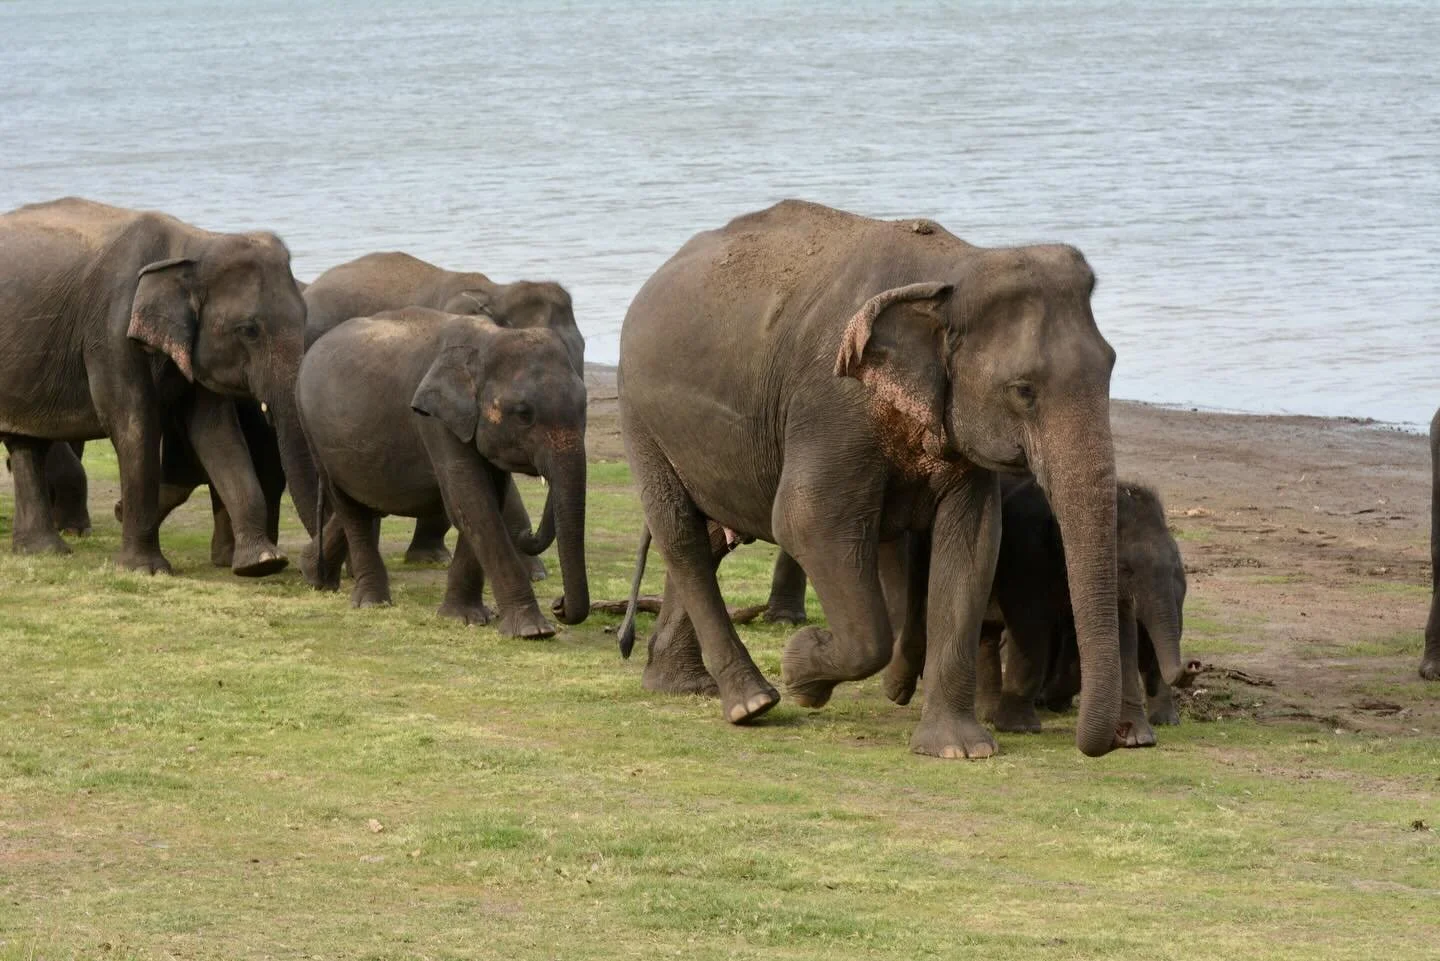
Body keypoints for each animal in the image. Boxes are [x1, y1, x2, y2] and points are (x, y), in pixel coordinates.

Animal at [0, 197, 319, 573]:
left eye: (304, 318)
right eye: (249, 330)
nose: (308, 566)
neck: (194, 244)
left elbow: (217, 433)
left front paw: (261, 563)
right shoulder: (111, 331)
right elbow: (134, 424)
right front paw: (145, 569)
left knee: (26, 444)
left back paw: (43, 550)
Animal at [296, 307, 589, 638]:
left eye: (584, 405)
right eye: (524, 414)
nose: (559, 605)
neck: (489, 337)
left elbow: (485, 503)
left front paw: (464, 618)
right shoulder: (435, 421)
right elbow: (472, 504)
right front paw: (533, 631)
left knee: (369, 503)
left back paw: (316, 576)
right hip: (311, 431)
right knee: (350, 508)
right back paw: (371, 603)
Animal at [618, 199, 1123, 759]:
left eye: (1112, 366)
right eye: (1023, 390)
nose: (1104, 743)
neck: (957, 269)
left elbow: (972, 543)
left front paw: (959, 749)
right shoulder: (833, 403)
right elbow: (805, 522)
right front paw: (802, 669)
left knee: (709, 537)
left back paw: (681, 685)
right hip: (639, 415)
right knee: (681, 533)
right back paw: (752, 703)